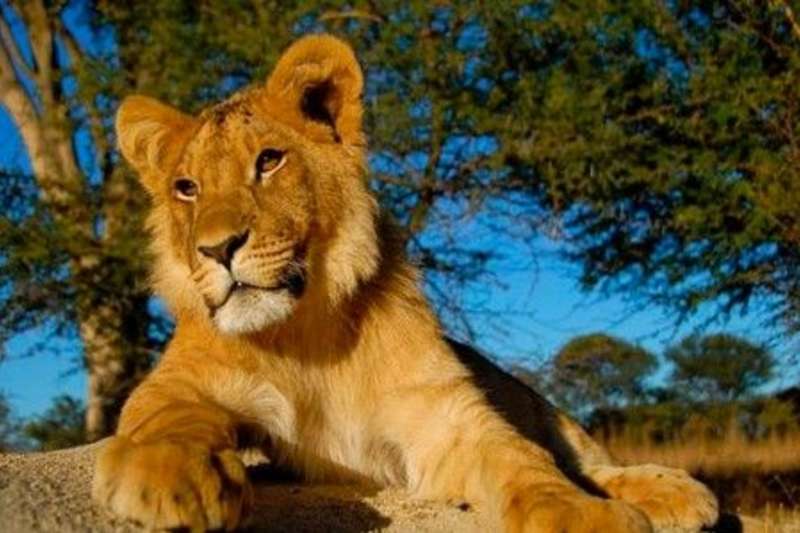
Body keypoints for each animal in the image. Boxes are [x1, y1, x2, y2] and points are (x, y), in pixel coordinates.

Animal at [92, 34, 719, 532]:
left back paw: (679, 491)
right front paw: (172, 478)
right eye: (186, 189)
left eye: (269, 161)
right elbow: (169, 421)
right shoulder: (180, 383)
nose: (218, 249)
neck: (303, 332)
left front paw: (582, 515)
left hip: (548, 413)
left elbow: (528, 463)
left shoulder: (447, 419)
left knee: (582, 462)